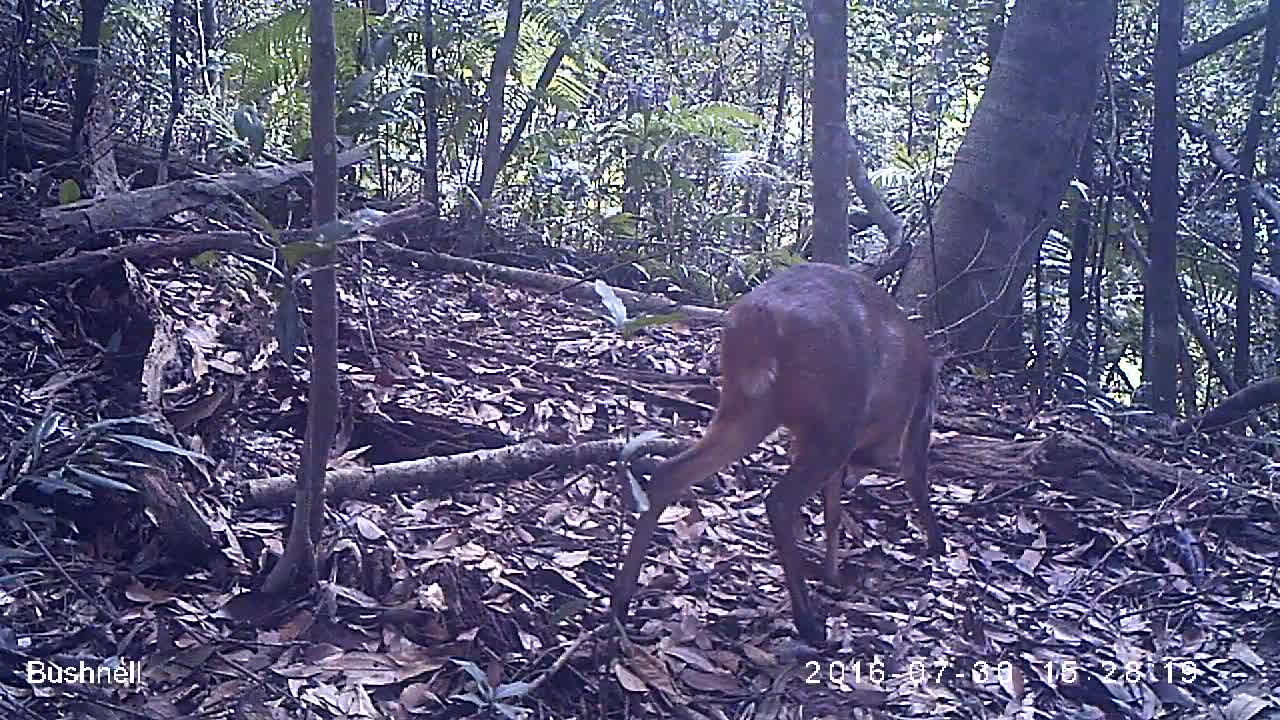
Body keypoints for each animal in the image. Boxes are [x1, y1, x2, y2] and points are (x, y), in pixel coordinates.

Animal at [609, 260, 942, 640]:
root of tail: (760, 321)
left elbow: (833, 510)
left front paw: (833, 575)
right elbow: (912, 473)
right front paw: (936, 543)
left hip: (749, 406)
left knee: (670, 473)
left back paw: (620, 603)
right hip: (834, 416)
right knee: (780, 500)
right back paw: (809, 623)